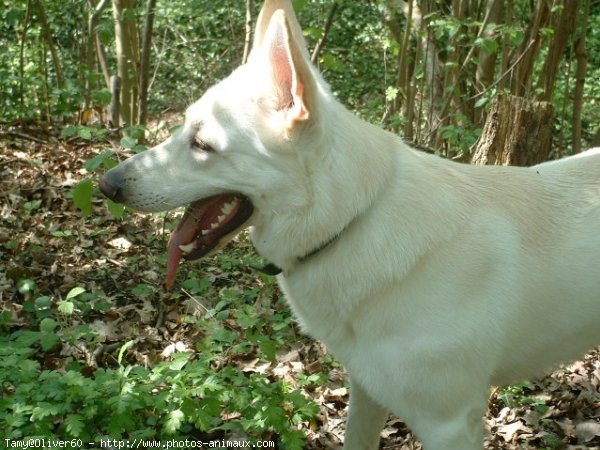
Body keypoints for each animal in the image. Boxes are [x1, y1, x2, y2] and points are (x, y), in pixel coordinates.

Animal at [99, 1, 600, 448]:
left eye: (202, 144)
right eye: (183, 129)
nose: (106, 185)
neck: (351, 220)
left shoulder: (449, 424)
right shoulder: (366, 391)